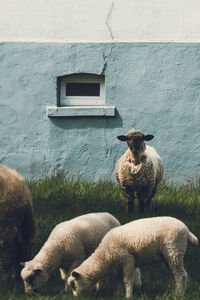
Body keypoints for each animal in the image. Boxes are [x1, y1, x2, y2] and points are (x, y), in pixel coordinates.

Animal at [67, 216, 198, 298]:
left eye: (73, 285)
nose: (76, 297)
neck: (104, 256)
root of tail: (186, 230)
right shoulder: (118, 266)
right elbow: (119, 281)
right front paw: (117, 294)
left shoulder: (128, 259)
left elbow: (127, 279)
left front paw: (128, 295)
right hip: (169, 255)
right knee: (176, 274)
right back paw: (177, 292)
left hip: (174, 250)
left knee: (181, 275)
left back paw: (179, 295)